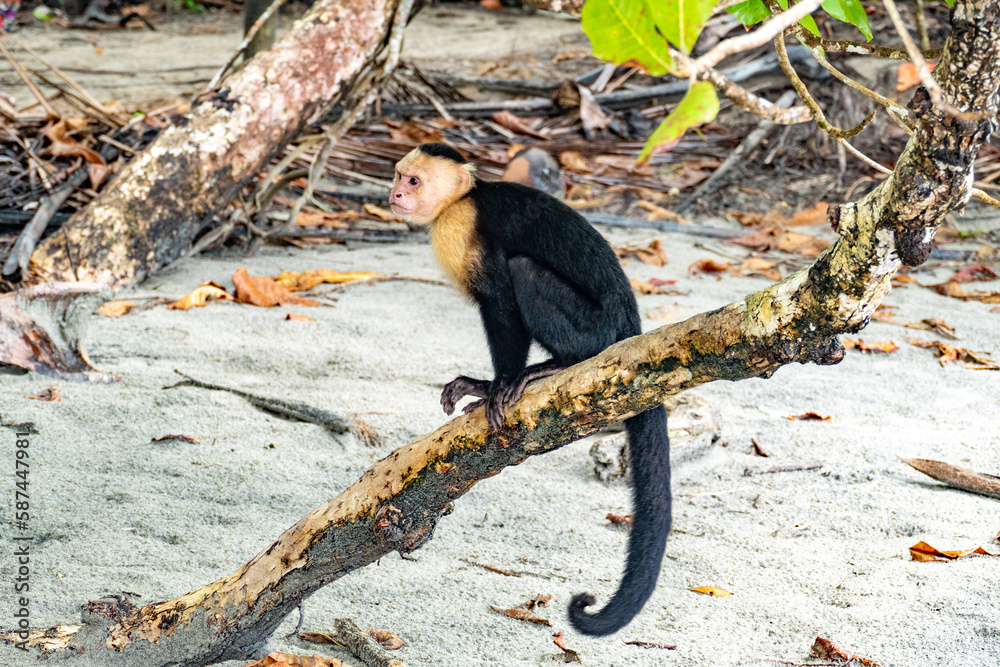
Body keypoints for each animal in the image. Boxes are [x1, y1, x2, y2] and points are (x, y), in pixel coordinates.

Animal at [389, 142, 671, 637]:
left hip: (596, 329)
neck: (462, 200)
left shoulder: (463, 227)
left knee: (525, 272)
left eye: (415, 181)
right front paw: (482, 386)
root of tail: (631, 328)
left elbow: (501, 301)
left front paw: (494, 385)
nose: (396, 194)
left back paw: (559, 364)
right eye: (399, 176)